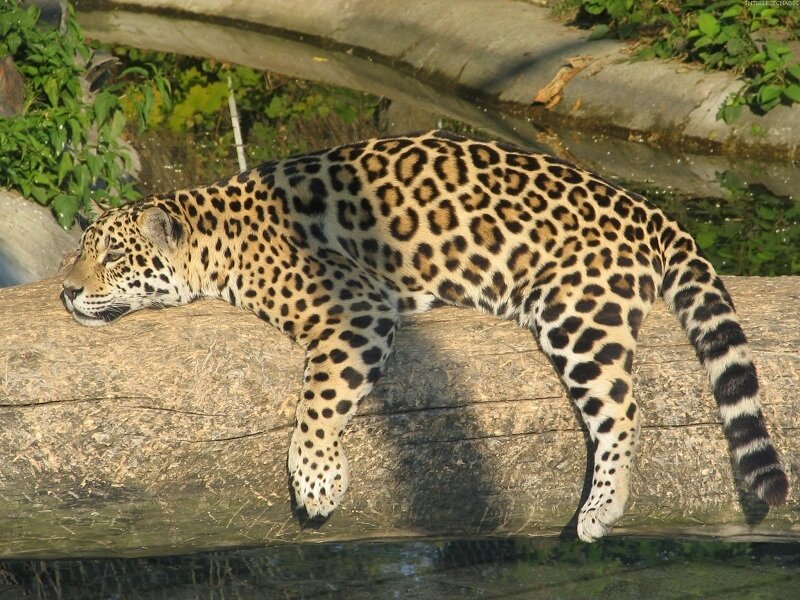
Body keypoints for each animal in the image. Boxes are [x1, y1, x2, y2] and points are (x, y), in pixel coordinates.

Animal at [61, 130, 788, 541]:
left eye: (114, 257)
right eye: (77, 250)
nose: (66, 290)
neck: (214, 235)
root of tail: (647, 207)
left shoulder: (353, 308)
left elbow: (320, 397)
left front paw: (317, 480)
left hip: (578, 311)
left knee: (623, 407)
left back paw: (601, 507)